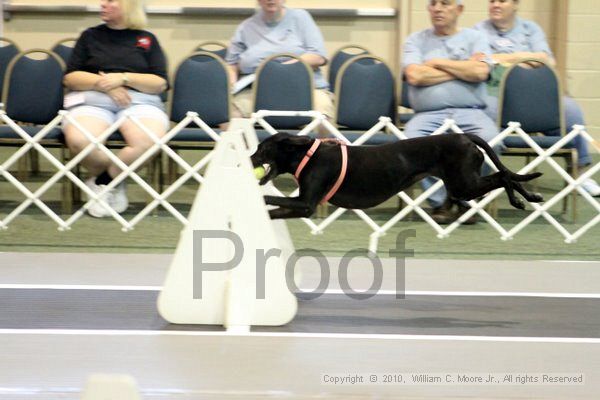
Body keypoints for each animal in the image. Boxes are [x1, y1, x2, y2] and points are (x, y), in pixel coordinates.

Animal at [251, 134, 540, 220]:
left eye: (262, 149)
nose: (249, 159)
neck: (308, 155)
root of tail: (465, 136)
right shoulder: (302, 207)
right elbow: (276, 210)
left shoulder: (307, 203)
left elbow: (269, 197)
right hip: (463, 185)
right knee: (505, 175)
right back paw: (530, 196)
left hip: (463, 185)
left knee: (503, 177)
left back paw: (521, 199)